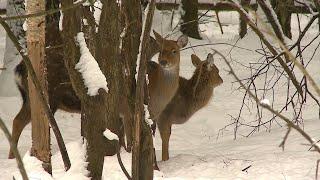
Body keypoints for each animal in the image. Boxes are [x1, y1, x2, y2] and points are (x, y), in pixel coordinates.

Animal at [8, 29, 188, 159]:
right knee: (19, 120)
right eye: (161, 48)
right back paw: (13, 157)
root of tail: (19, 69)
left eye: (174, 50)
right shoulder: (127, 108)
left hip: (30, 97)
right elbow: (130, 138)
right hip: (44, 97)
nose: (163, 61)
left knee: (18, 120)